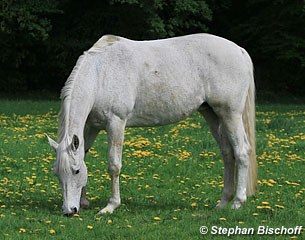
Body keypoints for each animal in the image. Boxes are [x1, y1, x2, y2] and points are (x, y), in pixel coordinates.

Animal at [47, 33, 256, 216]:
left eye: (75, 171)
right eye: (57, 173)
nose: (69, 211)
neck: (100, 73)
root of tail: (239, 50)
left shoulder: (116, 123)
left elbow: (114, 165)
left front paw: (111, 206)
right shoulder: (91, 127)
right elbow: (84, 154)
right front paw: (84, 201)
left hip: (230, 115)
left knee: (241, 152)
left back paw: (238, 202)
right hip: (212, 114)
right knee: (227, 154)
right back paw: (223, 203)